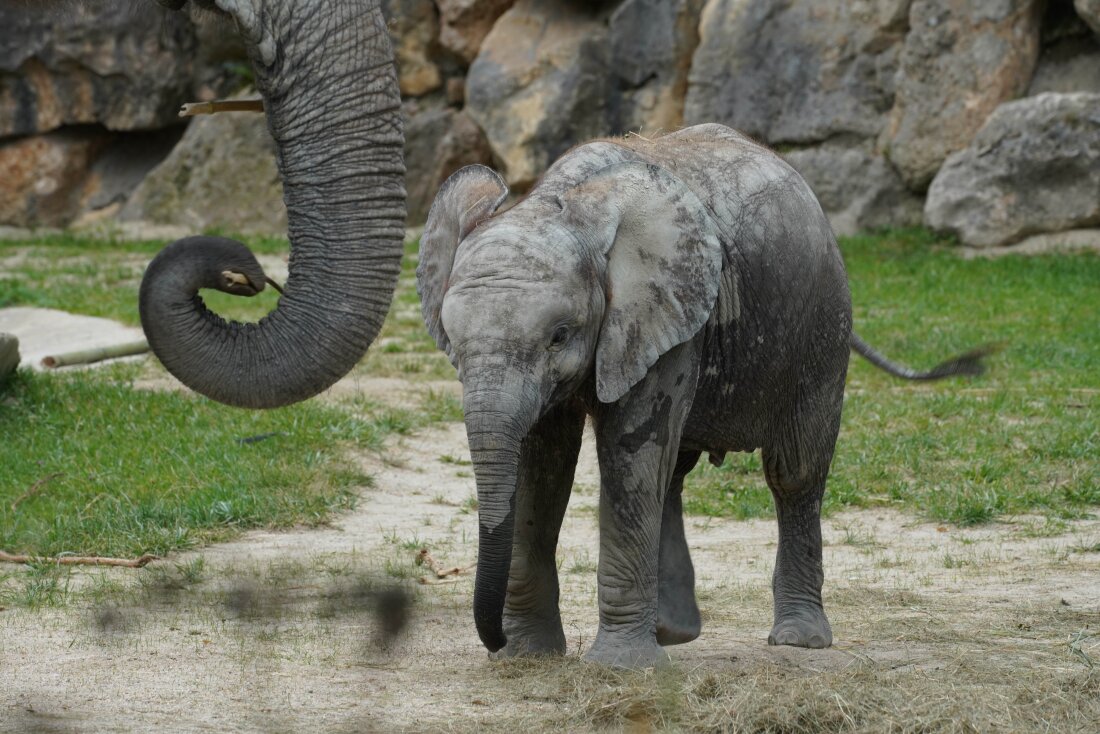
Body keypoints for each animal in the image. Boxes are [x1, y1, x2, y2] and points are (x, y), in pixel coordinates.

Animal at [418, 123, 990, 669]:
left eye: (559, 335)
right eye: (453, 343)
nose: (492, 640)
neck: (565, 202)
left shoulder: (663, 315)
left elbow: (629, 455)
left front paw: (619, 669)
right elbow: (542, 464)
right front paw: (528, 656)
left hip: (824, 321)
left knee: (794, 471)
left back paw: (797, 640)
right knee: (671, 472)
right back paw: (673, 633)